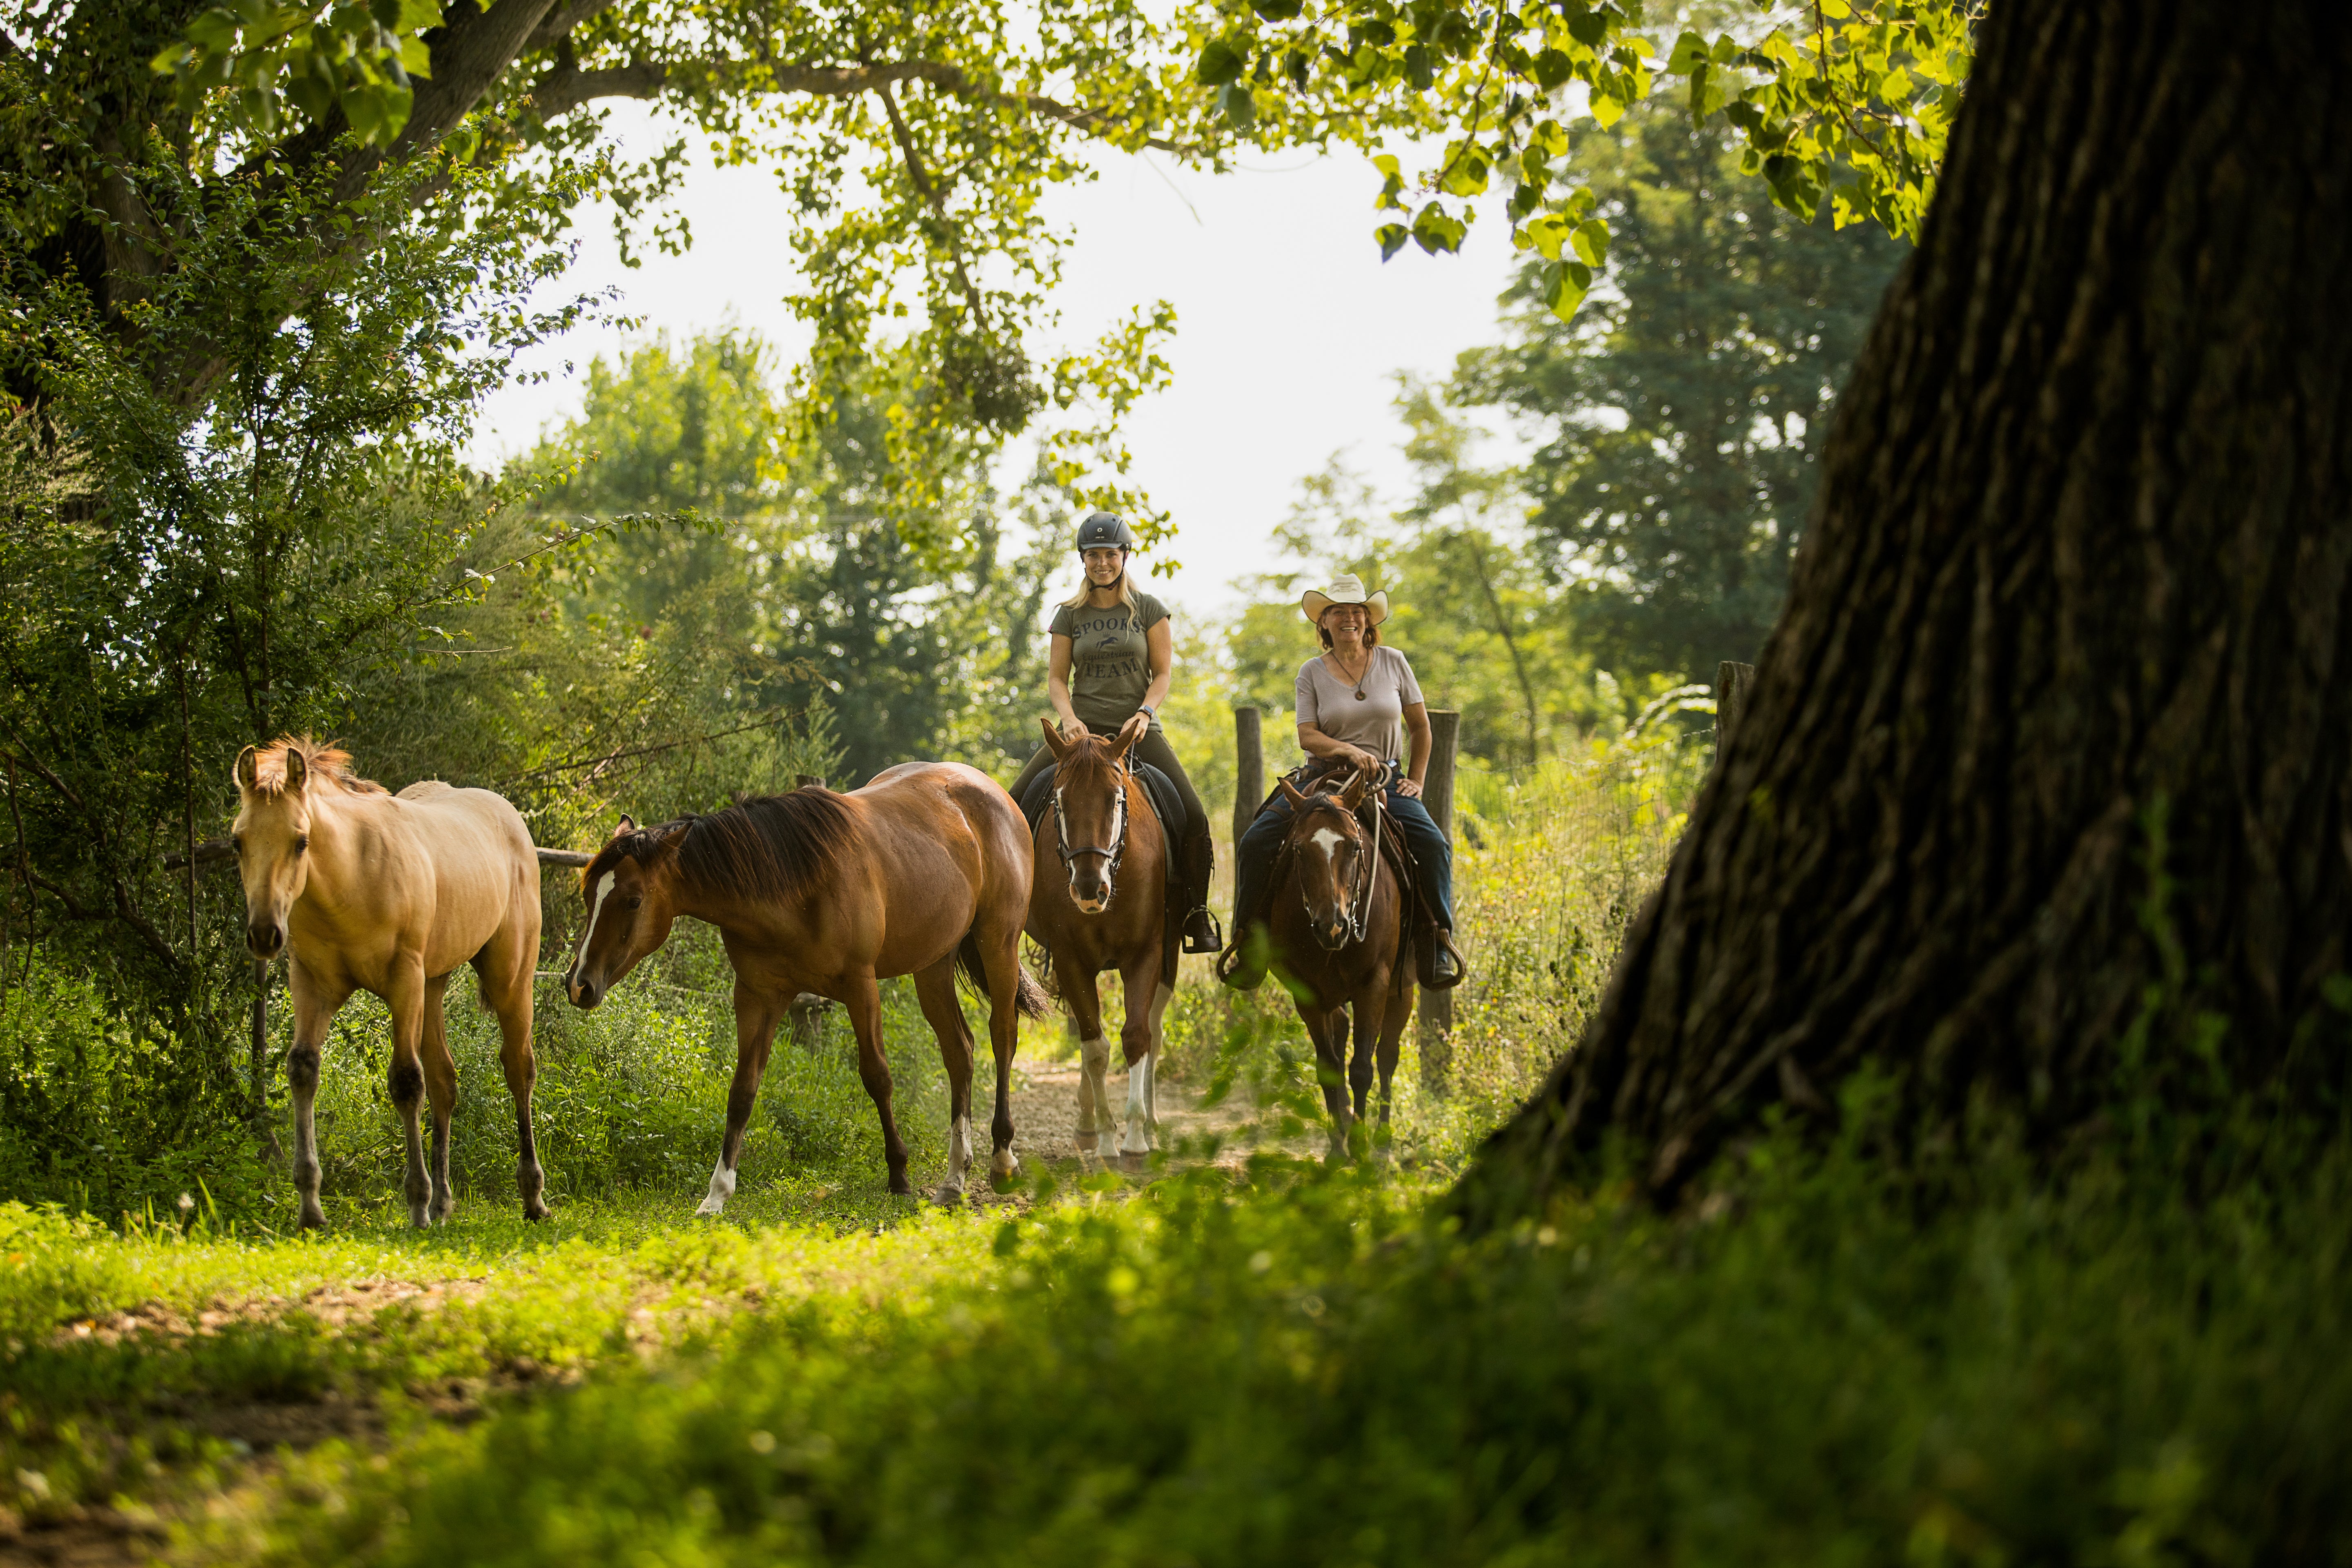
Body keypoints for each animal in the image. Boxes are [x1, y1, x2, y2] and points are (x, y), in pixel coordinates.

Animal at [229, 743, 541, 1232]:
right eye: (237, 842)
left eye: (301, 841)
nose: (264, 934)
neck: (352, 879)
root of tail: (511, 818)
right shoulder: (311, 984)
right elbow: (303, 1069)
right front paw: (310, 1206)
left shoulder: (403, 981)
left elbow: (406, 1081)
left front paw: (416, 1204)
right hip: (434, 984)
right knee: (444, 1080)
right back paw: (444, 1203)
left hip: (509, 977)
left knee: (518, 1068)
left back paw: (532, 1198)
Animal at [564, 766, 1044, 1213]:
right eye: (588, 895)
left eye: (633, 901)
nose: (580, 985)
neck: (793, 885)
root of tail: (993, 791)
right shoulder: (757, 997)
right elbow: (742, 1091)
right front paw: (717, 1194)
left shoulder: (860, 986)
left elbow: (877, 1076)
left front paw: (899, 1174)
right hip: (933, 965)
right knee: (959, 1051)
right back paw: (954, 1177)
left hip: (998, 943)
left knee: (1002, 1035)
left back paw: (1002, 1160)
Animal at [1025, 724, 1176, 1166]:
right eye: (1059, 801)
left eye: (1117, 798)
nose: (1090, 889)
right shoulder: (1071, 960)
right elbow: (1095, 1048)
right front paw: (1108, 1138)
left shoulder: (1146, 953)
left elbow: (1137, 1037)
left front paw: (1136, 1138)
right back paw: (1088, 1126)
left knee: (1155, 1031)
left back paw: (1154, 1127)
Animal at [1270, 771, 1411, 1166]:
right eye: (1298, 849)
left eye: (1355, 847)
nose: (1331, 926)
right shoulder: (1306, 992)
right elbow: (1329, 1068)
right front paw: (1337, 1147)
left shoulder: (1374, 984)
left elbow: (1362, 1069)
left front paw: (1362, 1149)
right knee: (1343, 1030)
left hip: (1404, 989)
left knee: (1387, 1057)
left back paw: (1382, 1143)